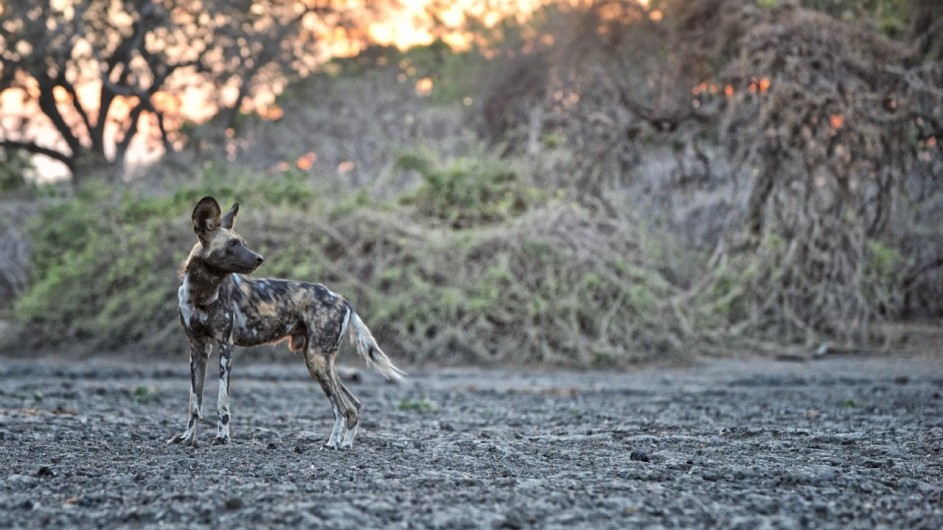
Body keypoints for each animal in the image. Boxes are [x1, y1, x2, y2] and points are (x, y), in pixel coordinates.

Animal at [170, 194, 406, 446]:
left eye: (242, 242)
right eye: (232, 244)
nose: (259, 258)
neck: (201, 292)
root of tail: (343, 300)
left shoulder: (225, 346)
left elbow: (222, 403)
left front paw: (222, 438)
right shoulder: (198, 349)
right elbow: (194, 403)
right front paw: (186, 438)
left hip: (317, 359)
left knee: (341, 408)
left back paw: (332, 444)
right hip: (319, 361)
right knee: (354, 406)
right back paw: (344, 444)